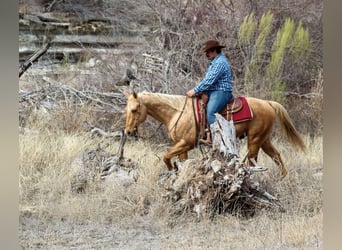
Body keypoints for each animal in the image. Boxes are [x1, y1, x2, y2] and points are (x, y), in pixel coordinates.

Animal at [124, 91, 306, 177]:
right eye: (126, 109)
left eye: (134, 110)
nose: (128, 131)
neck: (178, 112)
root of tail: (268, 103)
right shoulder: (182, 147)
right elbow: (180, 162)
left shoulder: (186, 143)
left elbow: (166, 157)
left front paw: (171, 171)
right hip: (264, 139)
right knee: (276, 156)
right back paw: (284, 179)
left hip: (254, 140)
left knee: (253, 162)